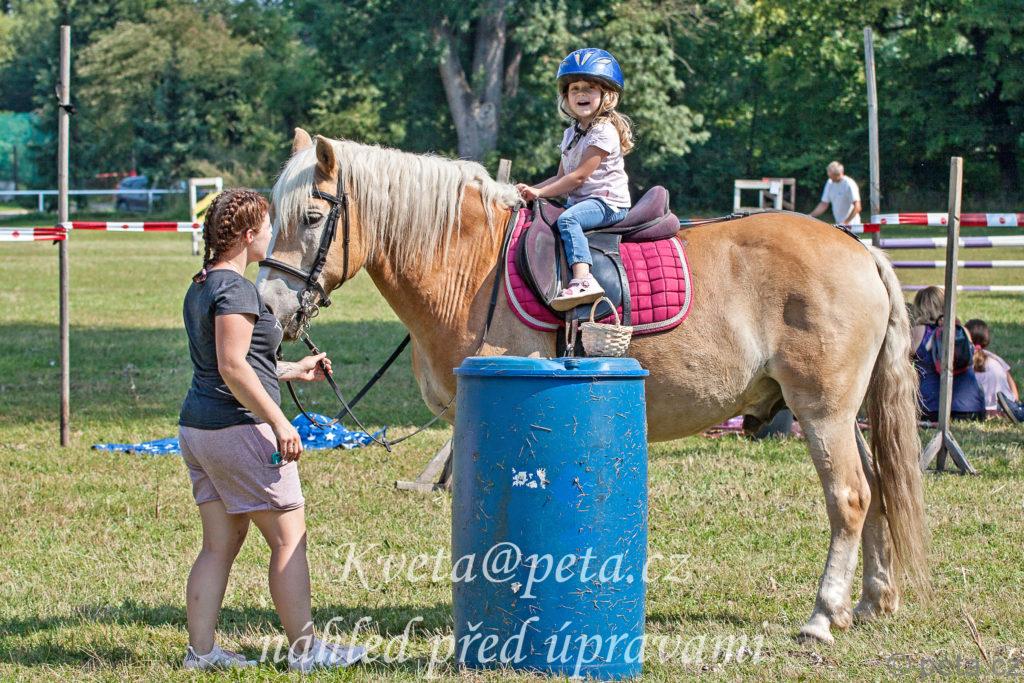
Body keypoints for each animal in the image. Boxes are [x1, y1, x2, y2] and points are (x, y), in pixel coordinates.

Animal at [256, 128, 928, 645]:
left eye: (311, 217)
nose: (267, 308)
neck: (472, 265)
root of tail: (858, 249)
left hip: (822, 410)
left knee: (849, 497)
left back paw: (822, 616)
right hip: (840, 413)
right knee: (874, 492)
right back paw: (869, 601)